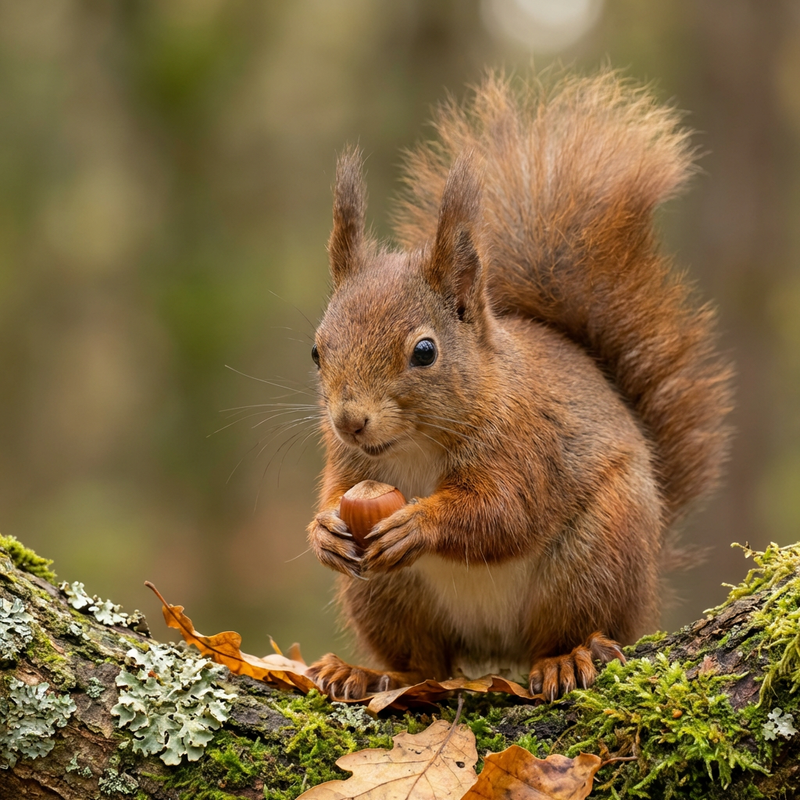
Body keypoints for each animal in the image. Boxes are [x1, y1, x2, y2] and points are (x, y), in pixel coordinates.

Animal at [304, 71, 732, 701]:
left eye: (425, 352)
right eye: (317, 351)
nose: (349, 421)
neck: (414, 448)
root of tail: (494, 654)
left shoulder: (525, 444)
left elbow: (503, 514)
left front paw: (420, 523)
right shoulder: (348, 465)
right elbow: (335, 494)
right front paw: (324, 532)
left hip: (596, 557)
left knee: (574, 630)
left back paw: (566, 660)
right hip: (385, 594)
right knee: (423, 664)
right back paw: (368, 673)